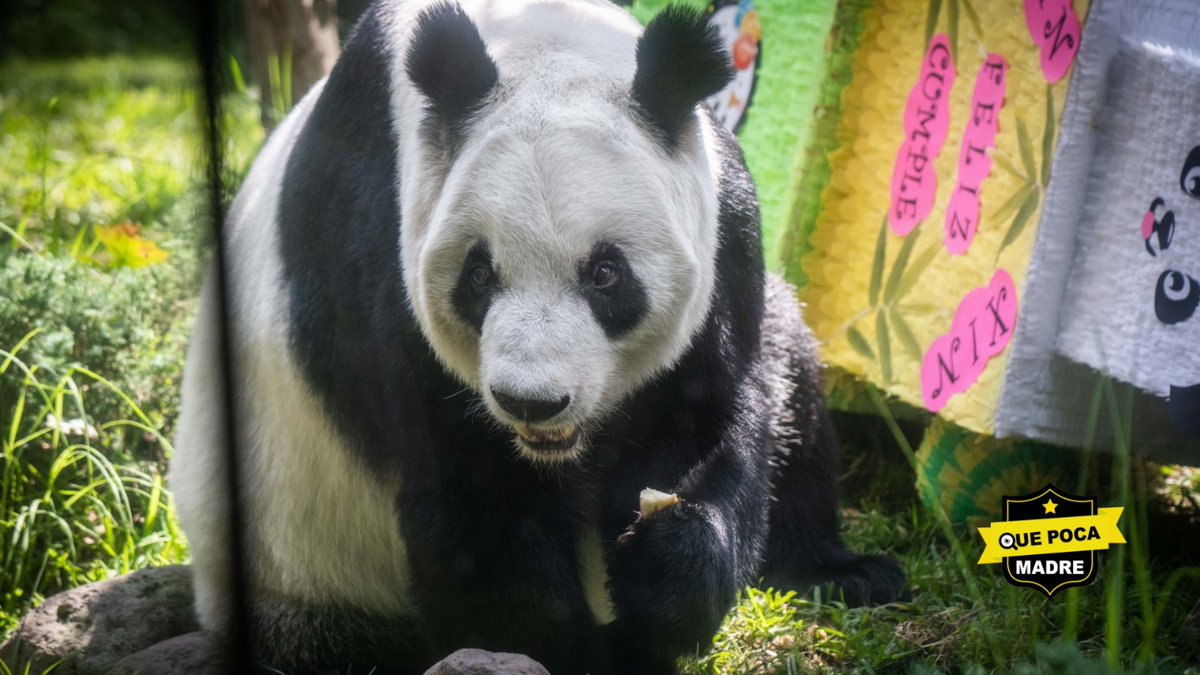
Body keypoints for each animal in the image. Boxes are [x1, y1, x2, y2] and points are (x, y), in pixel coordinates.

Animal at [170, 1, 905, 673]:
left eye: (605, 273)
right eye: (479, 274)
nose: (533, 401)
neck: (540, 41)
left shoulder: (725, 235)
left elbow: (712, 419)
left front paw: (663, 569)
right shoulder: (385, 248)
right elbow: (476, 501)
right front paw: (570, 649)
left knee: (794, 386)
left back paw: (845, 571)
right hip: (301, 564)